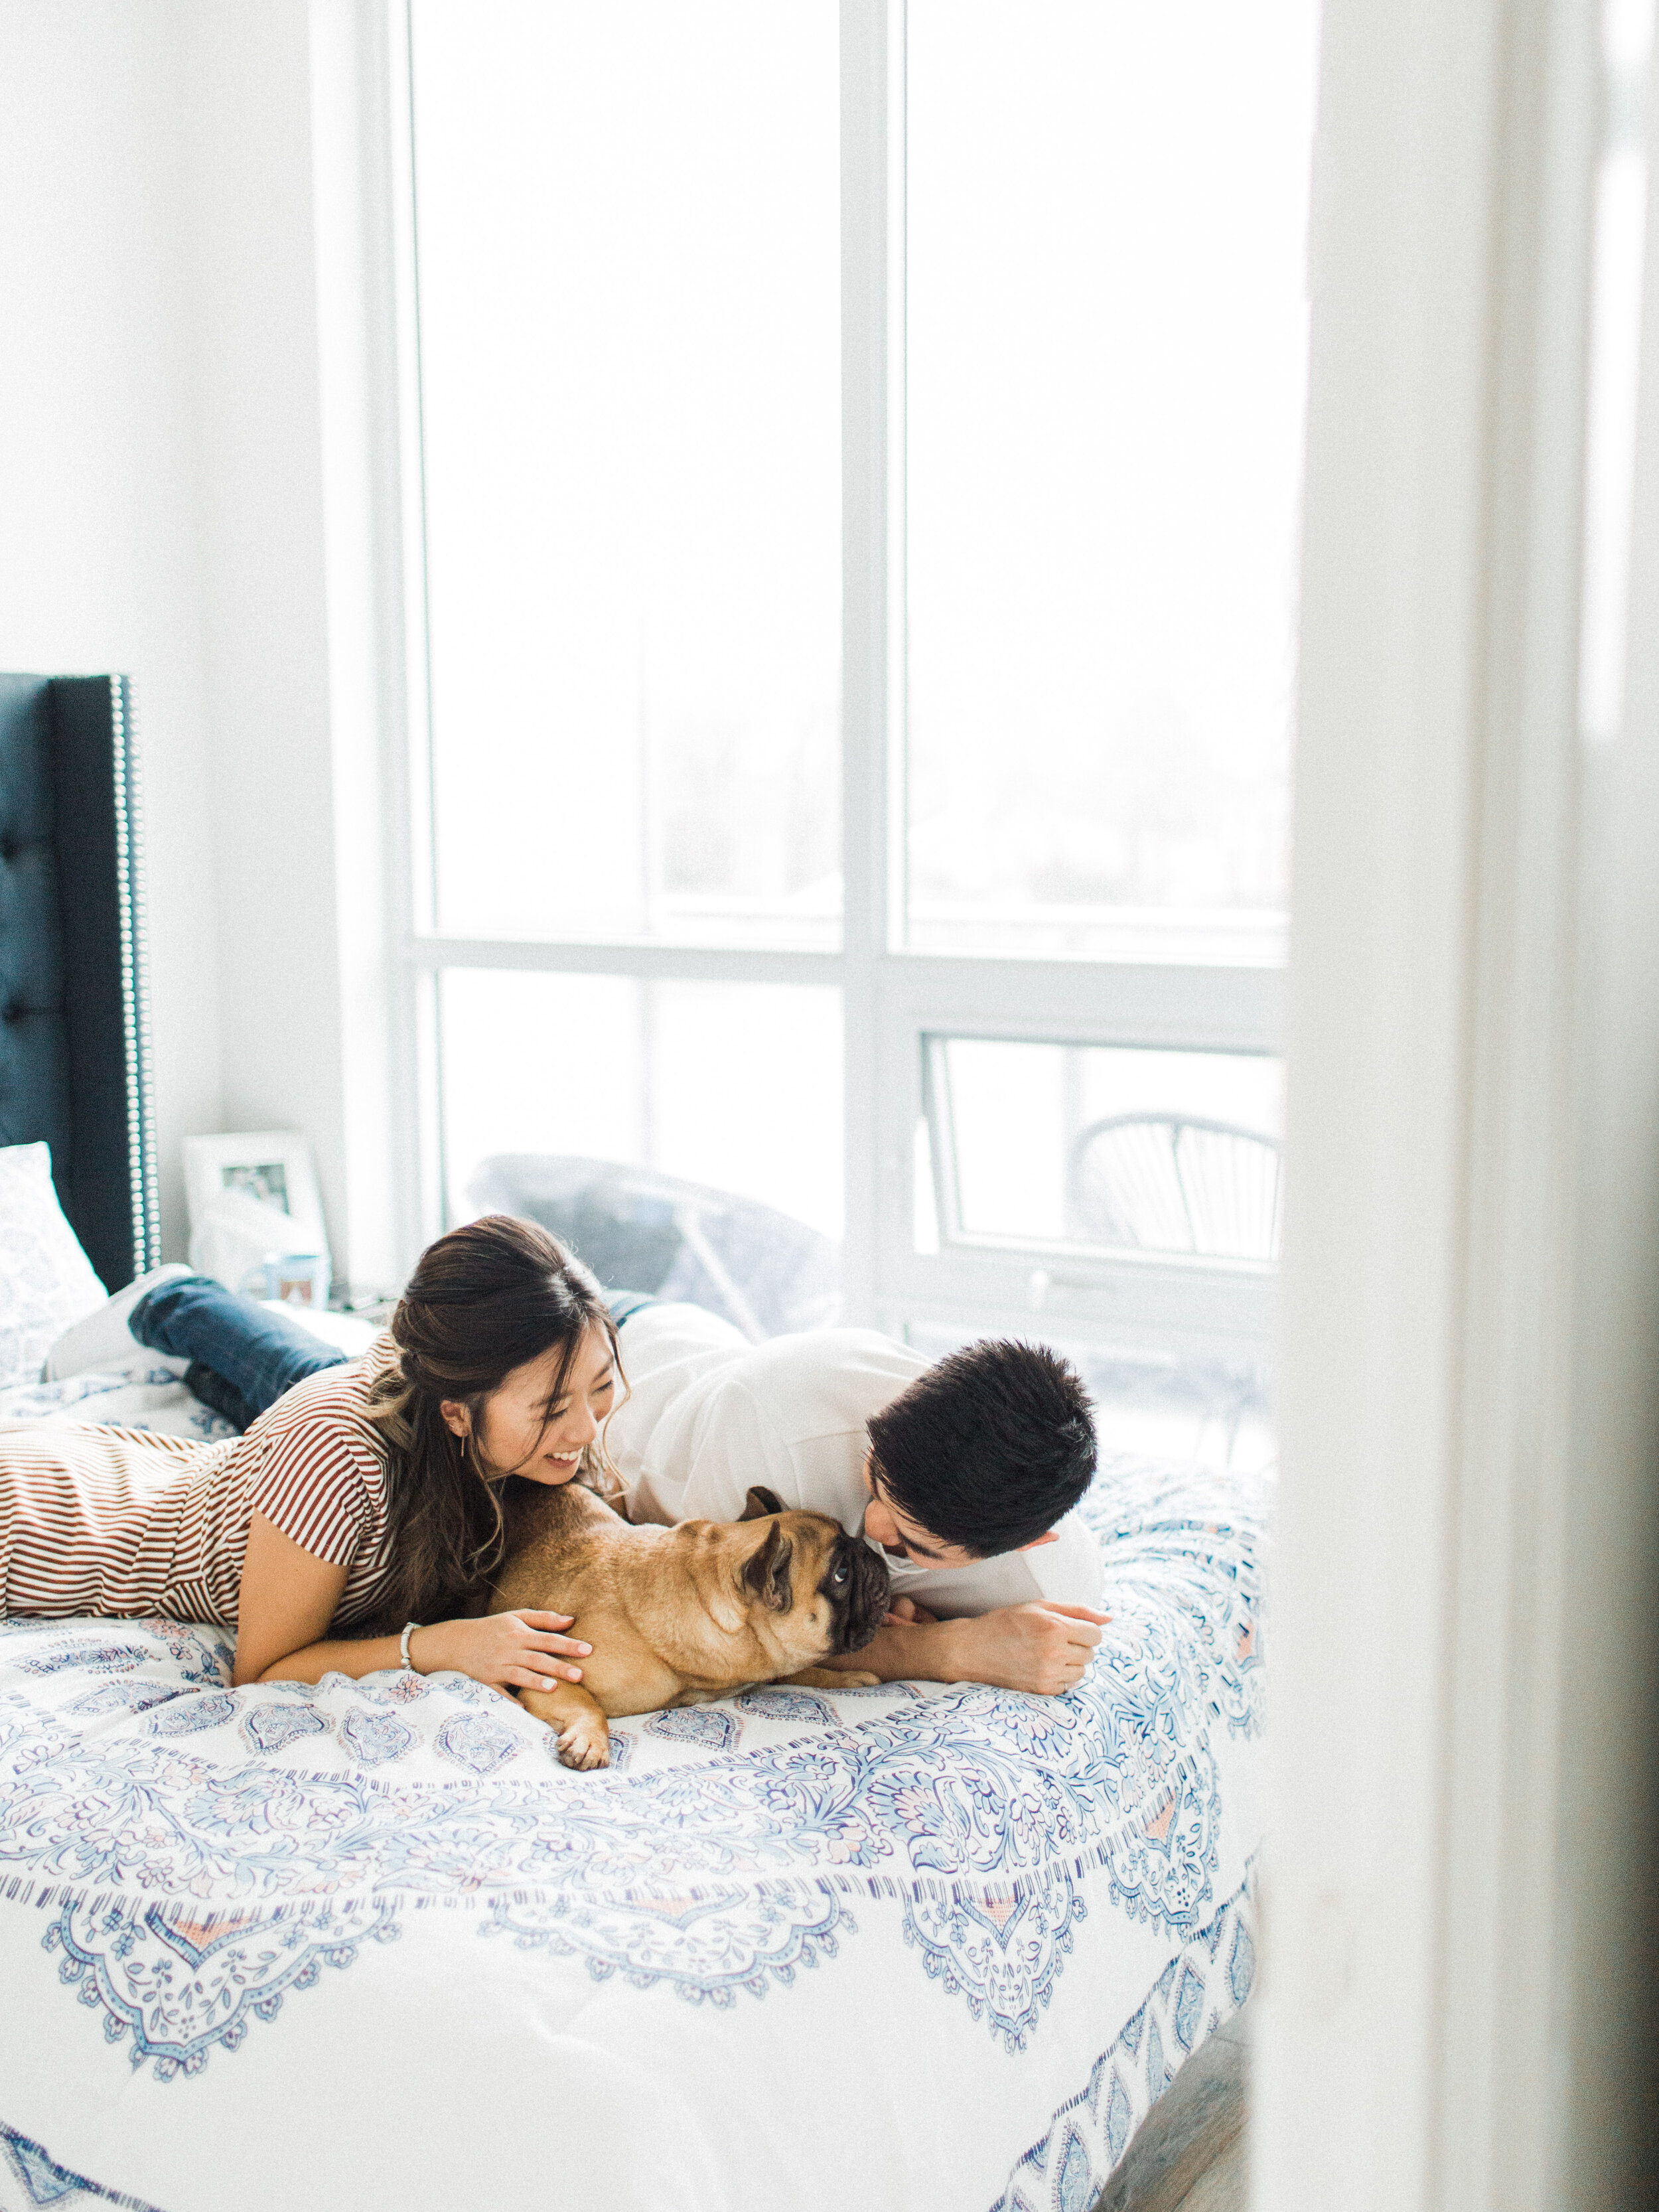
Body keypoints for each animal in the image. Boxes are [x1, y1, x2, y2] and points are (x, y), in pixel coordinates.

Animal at [486, 1477, 898, 1769]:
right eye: (842, 1574)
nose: (871, 1553)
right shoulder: (553, 1677)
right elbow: (590, 1709)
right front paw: (591, 1741)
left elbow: (799, 1671)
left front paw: (846, 1677)